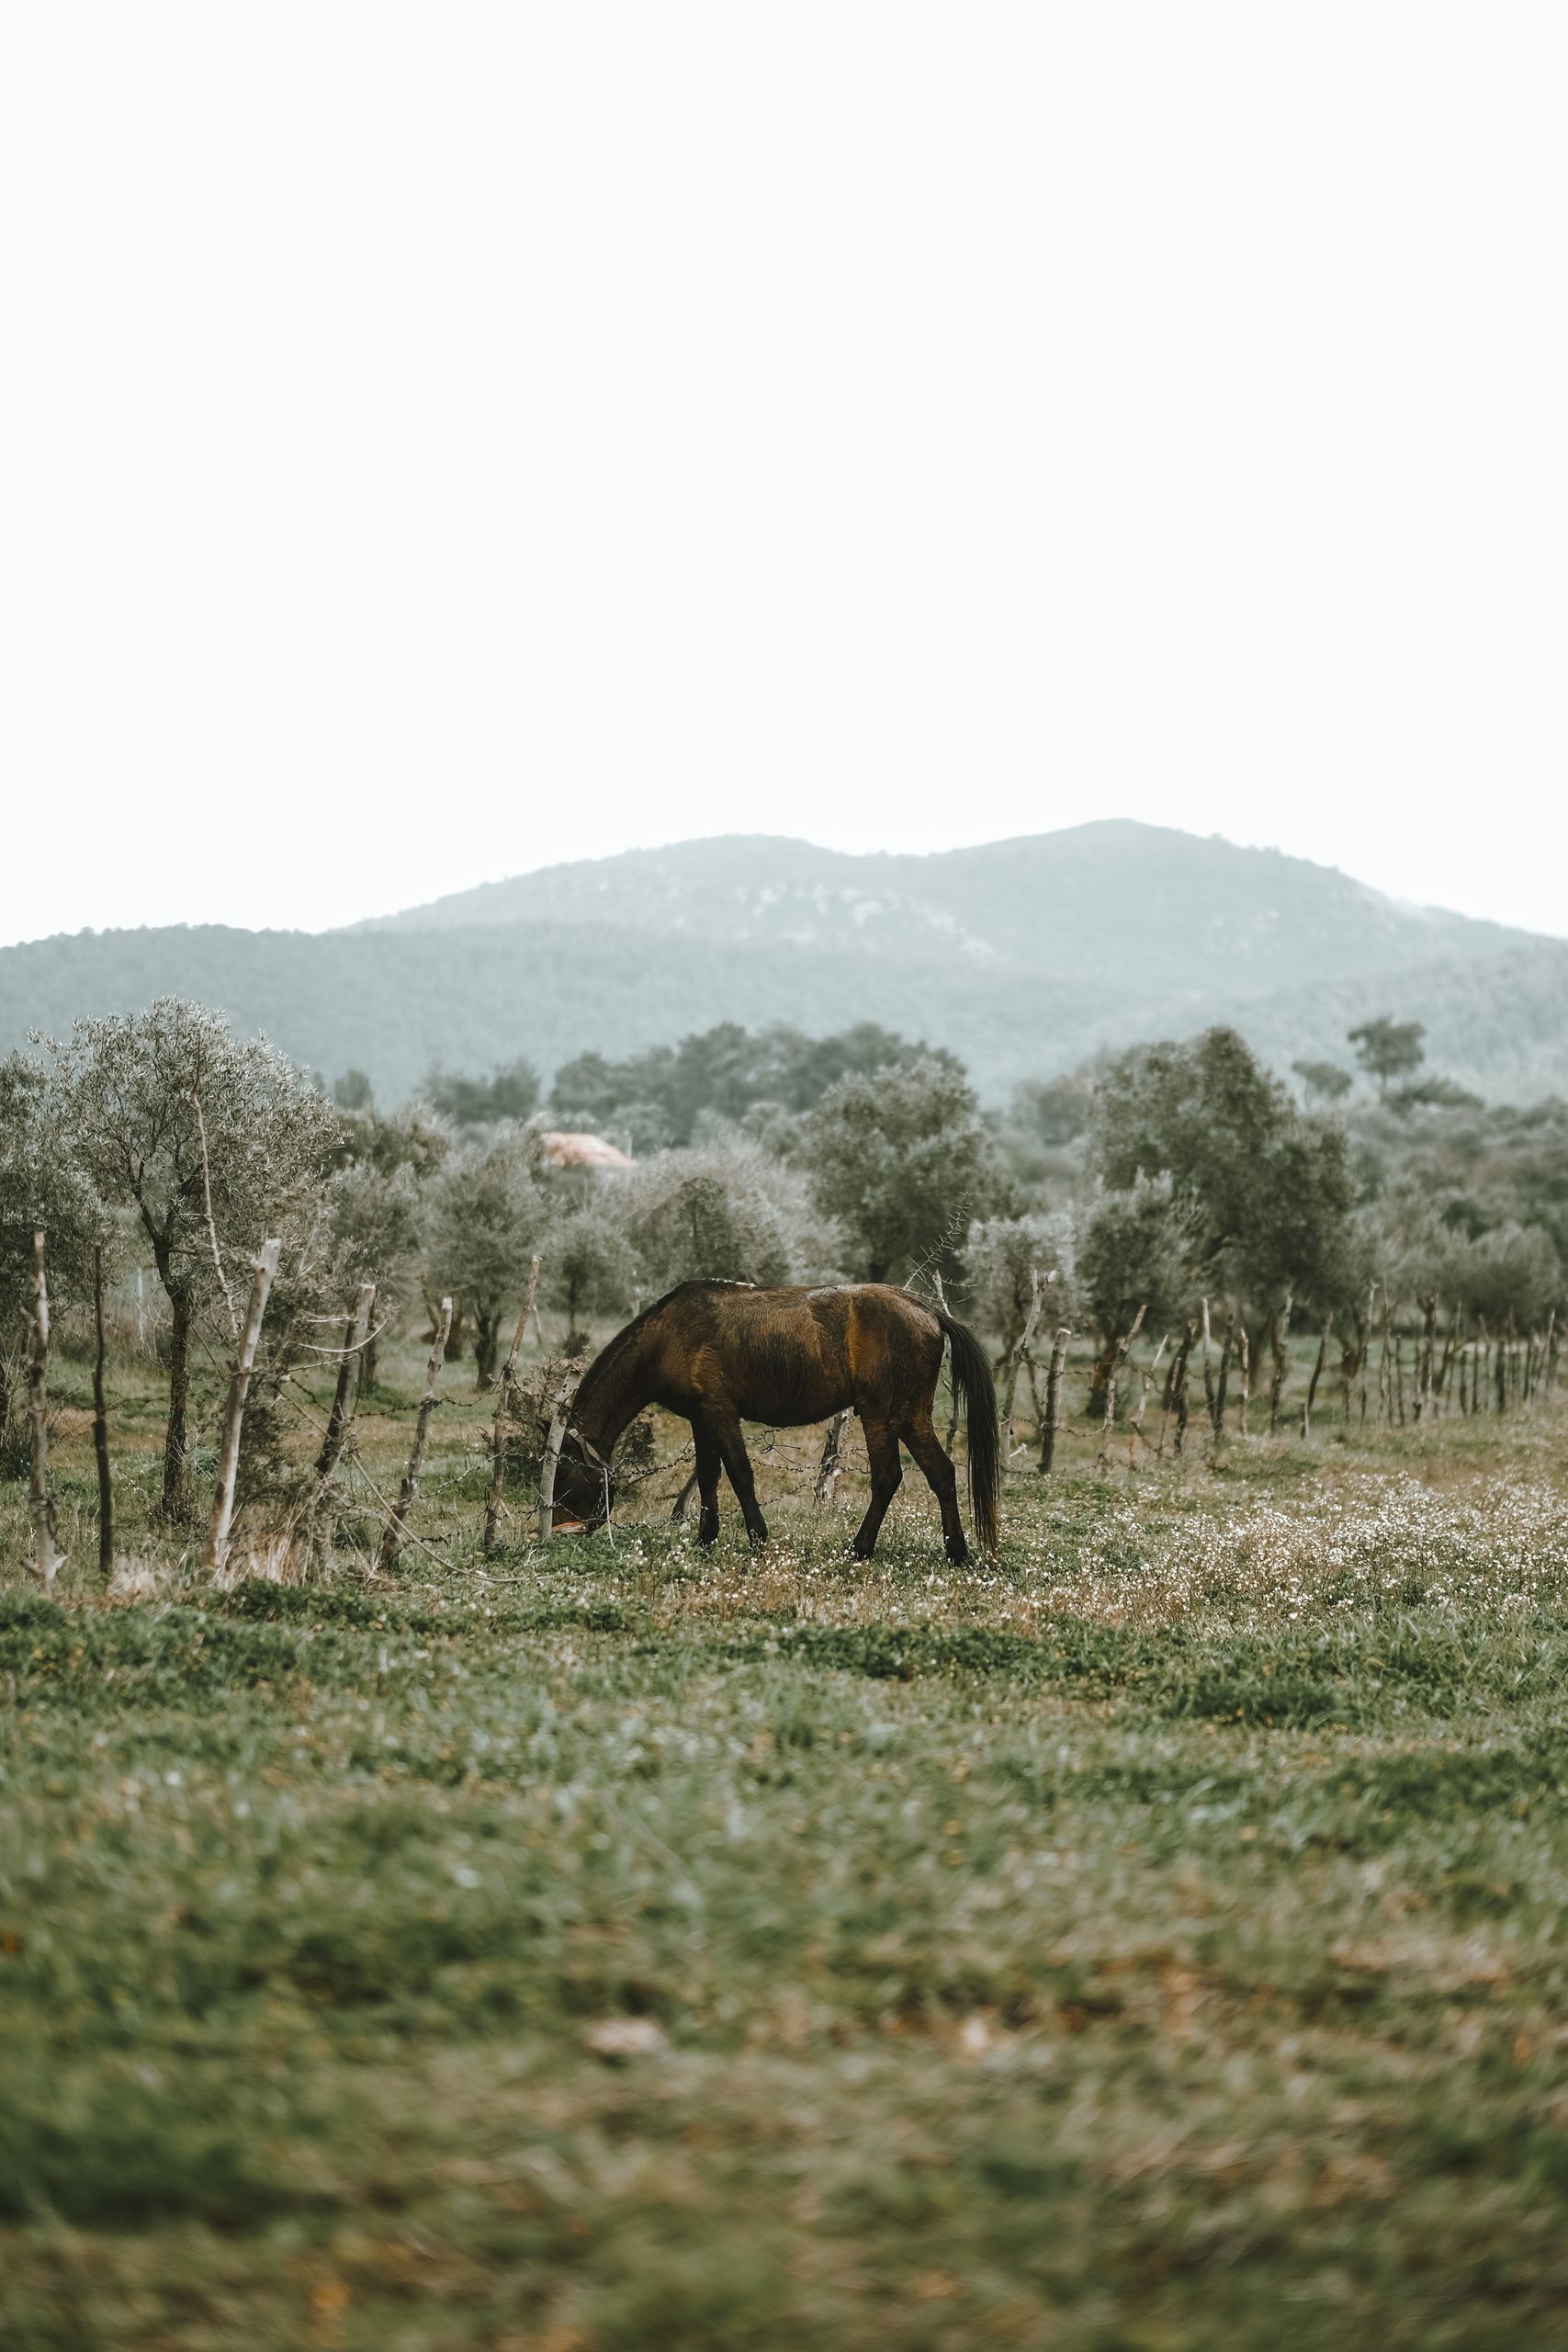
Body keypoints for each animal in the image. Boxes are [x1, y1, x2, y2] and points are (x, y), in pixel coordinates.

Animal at [549, 1279, 999, 1561]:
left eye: (564, 1477)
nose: (559, 1533)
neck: (669, 1335)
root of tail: (929, 1311)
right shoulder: (701, 1419)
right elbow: (709, 1477)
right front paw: (705, 1539)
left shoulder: (720, 1412)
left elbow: (739, 1474)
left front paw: (757, 1540)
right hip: (908, 1417)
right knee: (941, 1473)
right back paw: (956, 1552)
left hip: (882, 1416)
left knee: (888, 1478)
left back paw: (860, 1548)